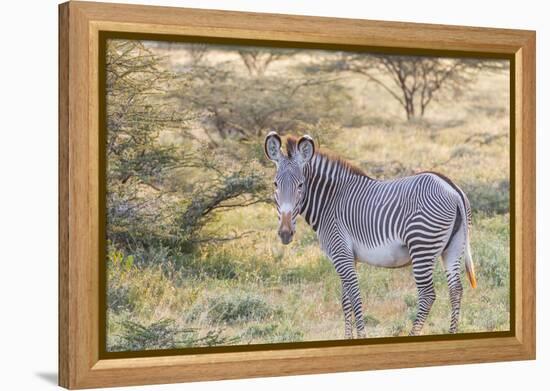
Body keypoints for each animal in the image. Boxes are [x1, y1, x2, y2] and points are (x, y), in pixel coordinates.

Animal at [264, 132, 478, 340]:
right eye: (275, 184)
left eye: (301, 185)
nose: (285, 233)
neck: (329, 201)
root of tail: (452, 189)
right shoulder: (348, 257)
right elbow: (345, 300)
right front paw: (348, 338)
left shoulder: (340, 253)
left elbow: (355, 296)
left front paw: (361, 336)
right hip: (453, 248)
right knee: (456, 290)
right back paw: (452, 333)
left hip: (422, 246)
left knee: (427, 294)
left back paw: (412, 335)